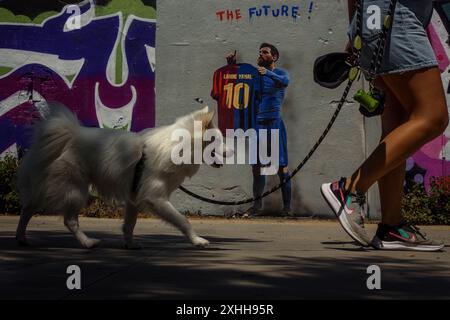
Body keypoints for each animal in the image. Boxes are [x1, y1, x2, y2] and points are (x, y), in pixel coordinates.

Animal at [16, 104, 229, 249]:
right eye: (218, 140)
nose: (232, 152)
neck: (180, 146)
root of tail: (66, 134)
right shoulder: (155, 197)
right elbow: (183, 220)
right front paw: (197, 240)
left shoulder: (134, 197)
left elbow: (130, 224)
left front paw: (129, 244)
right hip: (74, 189)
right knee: (69, 220)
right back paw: (87, 242)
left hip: (48, 186)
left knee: (27, 209)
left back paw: (21, 239)